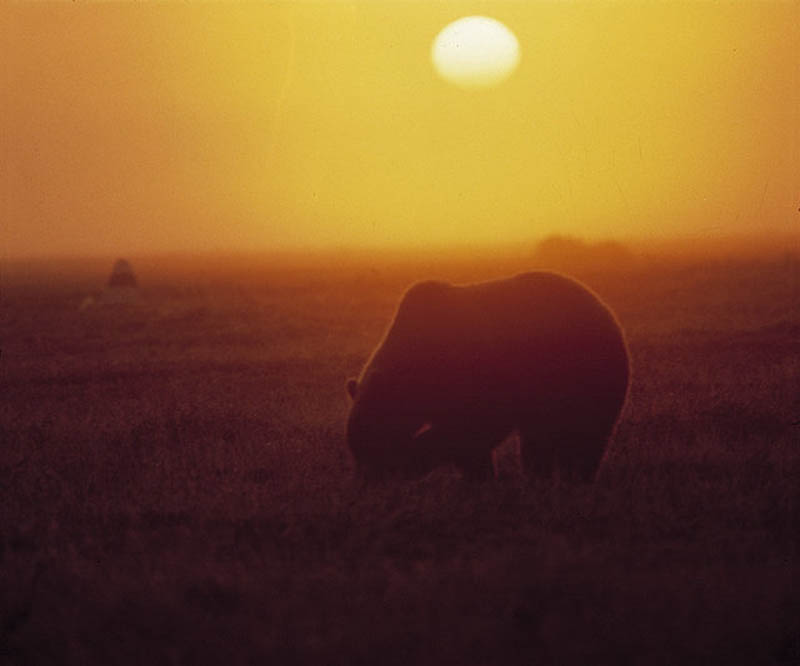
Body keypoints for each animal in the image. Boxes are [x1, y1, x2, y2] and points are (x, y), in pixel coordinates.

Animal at [344, 272, 632, 482]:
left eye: (371, 443)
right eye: (355, 448)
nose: (366, 480)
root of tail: (605, 308)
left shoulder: (476, 371)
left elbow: (474, 429)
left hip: (589, 371)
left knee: (588, 436)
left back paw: (575, 478)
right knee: (539, 439)